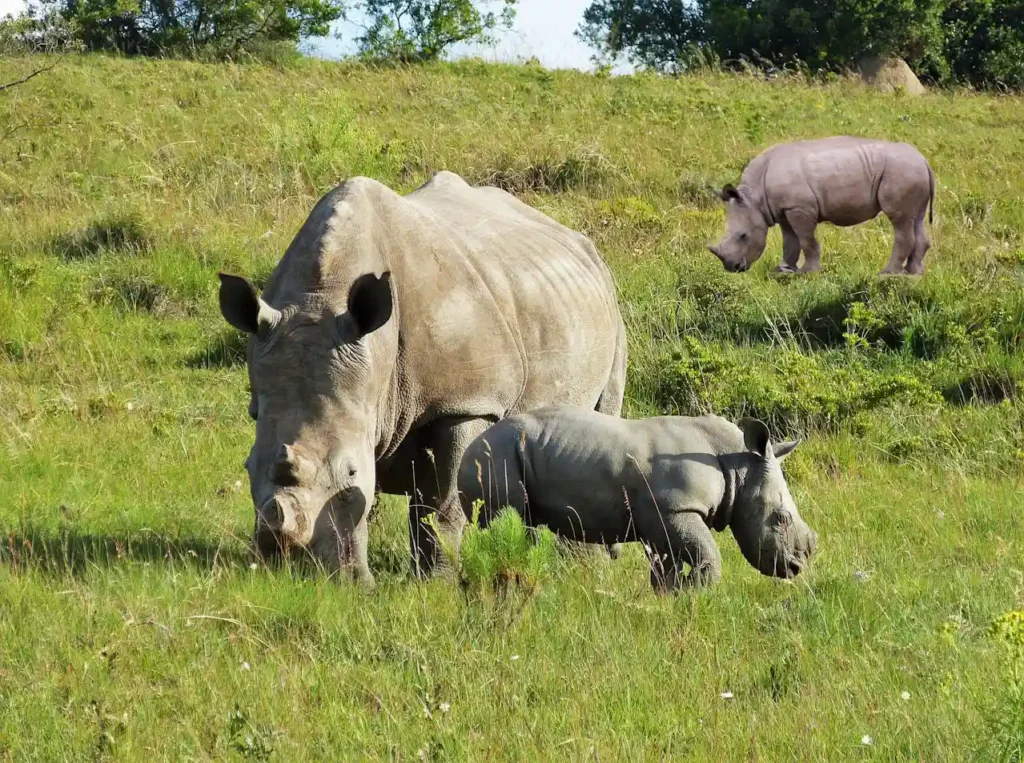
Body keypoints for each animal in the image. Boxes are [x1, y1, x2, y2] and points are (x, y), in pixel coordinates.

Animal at [456, 405, 815, 589]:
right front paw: (699, 588)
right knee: (507, 524)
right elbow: (708, 553)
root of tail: (467, 450)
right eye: (780, 519)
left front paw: (675, 593)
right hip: (494, 457)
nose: (796, 568)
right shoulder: (676, 507)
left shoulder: (662, 518)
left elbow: (667, 566)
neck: (738, 465)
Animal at [712, 136, 937, 274]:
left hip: (901, 172)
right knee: (915, 219)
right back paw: (913, 273)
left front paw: (808, 272)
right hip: (911, 172)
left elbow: (806, 239)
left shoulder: (799, 208)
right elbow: (790, 241)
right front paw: (783, 270)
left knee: (899, 220)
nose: (732, 267)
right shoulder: (784, 209)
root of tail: (925, 161)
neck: (754, 197)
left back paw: (887, 273)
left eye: (743, 236)